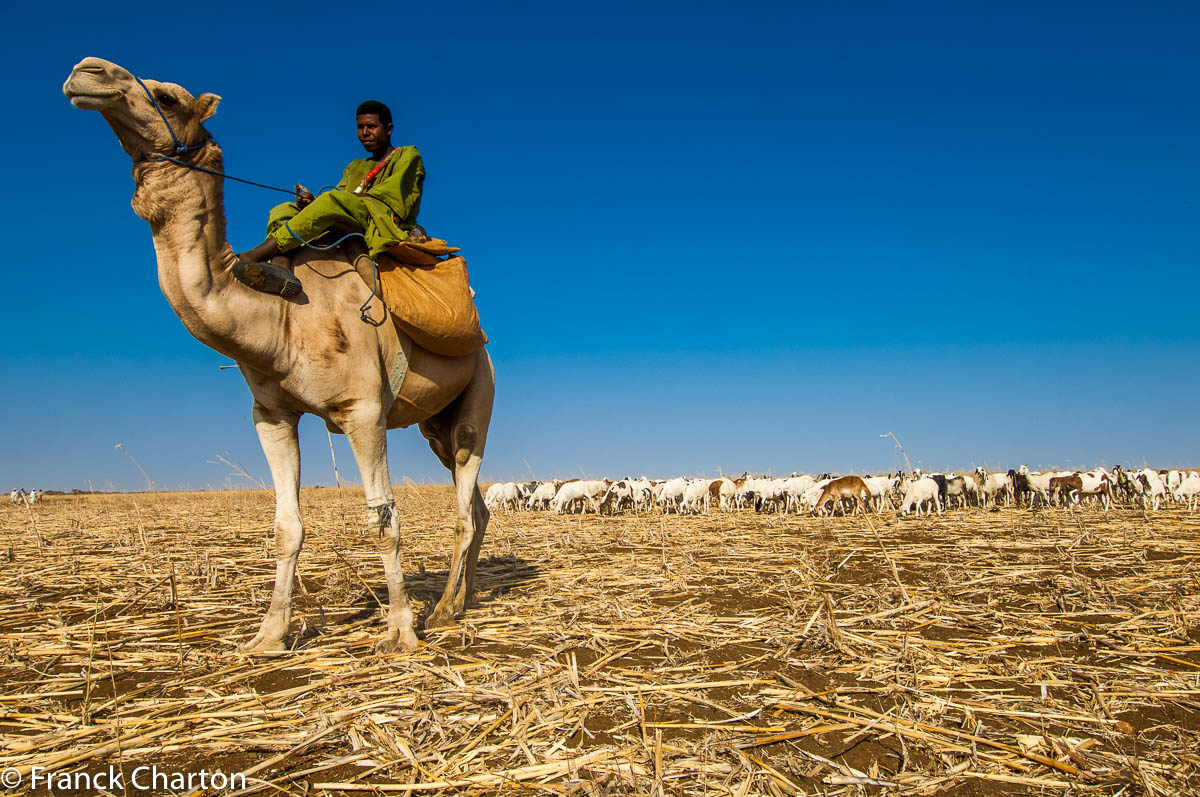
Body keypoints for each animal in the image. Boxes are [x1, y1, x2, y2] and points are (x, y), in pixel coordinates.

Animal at [63, 56, 494, 652]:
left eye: (168, 96)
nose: (87, 71)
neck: (280, 318)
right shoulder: (270, 414)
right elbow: (286, 525)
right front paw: (267, 635)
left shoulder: (364, 410)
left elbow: (383, 520)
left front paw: (401, 632)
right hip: (435, 424)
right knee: (476, 504)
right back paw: (460, 601)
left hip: (478, 391)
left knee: (464, 502)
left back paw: (445, 610)